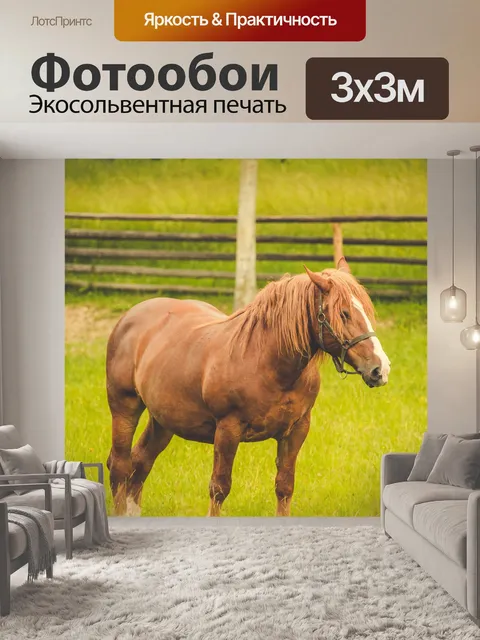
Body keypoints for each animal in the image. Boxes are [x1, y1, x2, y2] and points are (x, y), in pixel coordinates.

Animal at [106, 257, 391, 517]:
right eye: (343, 313)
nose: (380, 369)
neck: (267, 363)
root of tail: (129, 317)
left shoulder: (297, 430)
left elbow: (284, 487)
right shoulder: (227, 430)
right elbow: (219, 488)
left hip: (164, 420)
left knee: (140, 461)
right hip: (125, 407)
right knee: (119, 465)